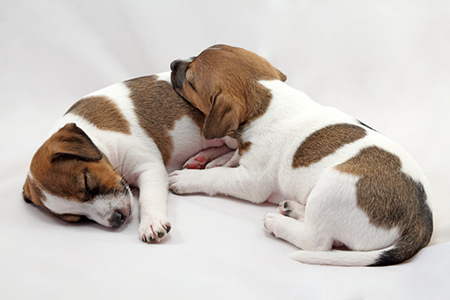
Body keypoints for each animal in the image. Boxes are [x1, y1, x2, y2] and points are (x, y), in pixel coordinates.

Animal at [23, 72, 236, 244]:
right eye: (77, 218)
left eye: (86, 183)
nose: (117, 219)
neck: (97, 138)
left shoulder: (150, 168)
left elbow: (147, 198)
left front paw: (150, 221)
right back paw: (203, 158)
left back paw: (221, 161)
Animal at [168, 44, 432, 264]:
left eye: (190, 80)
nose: (172, 63)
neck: (267, 98)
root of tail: (422, 217)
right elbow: (232, 155)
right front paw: (210, 159)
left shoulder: (251, 181)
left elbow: (217, 177)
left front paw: (187, 178)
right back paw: (292, 209)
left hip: (331, 188)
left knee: (317, 241)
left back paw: (278, 223)